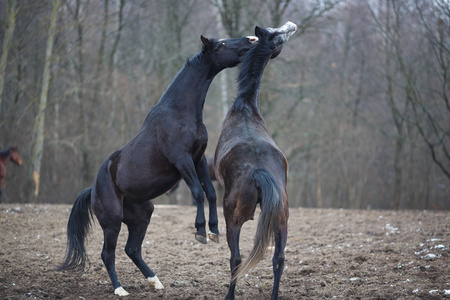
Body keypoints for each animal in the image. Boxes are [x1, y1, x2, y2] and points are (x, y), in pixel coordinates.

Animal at [57, 34, 258, 296]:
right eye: (222, 44)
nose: (250, 40)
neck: (179, 112)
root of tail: (93, 189)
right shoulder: (182, 159)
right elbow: (198, 193)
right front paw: (200, 231)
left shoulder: (198, 158)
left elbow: (211, 193)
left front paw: (214, 231)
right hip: (112, 222)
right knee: (107, 254)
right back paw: (120, 289)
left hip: (142, 216)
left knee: (132, 249)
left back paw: (155, 281)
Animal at [215, 21, 298, 300]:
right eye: (277, 35)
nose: (291, 25)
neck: (245, 107)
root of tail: (260, 171)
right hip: (282, 219)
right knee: (279, 259)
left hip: (233, 217)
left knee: (236, 258)